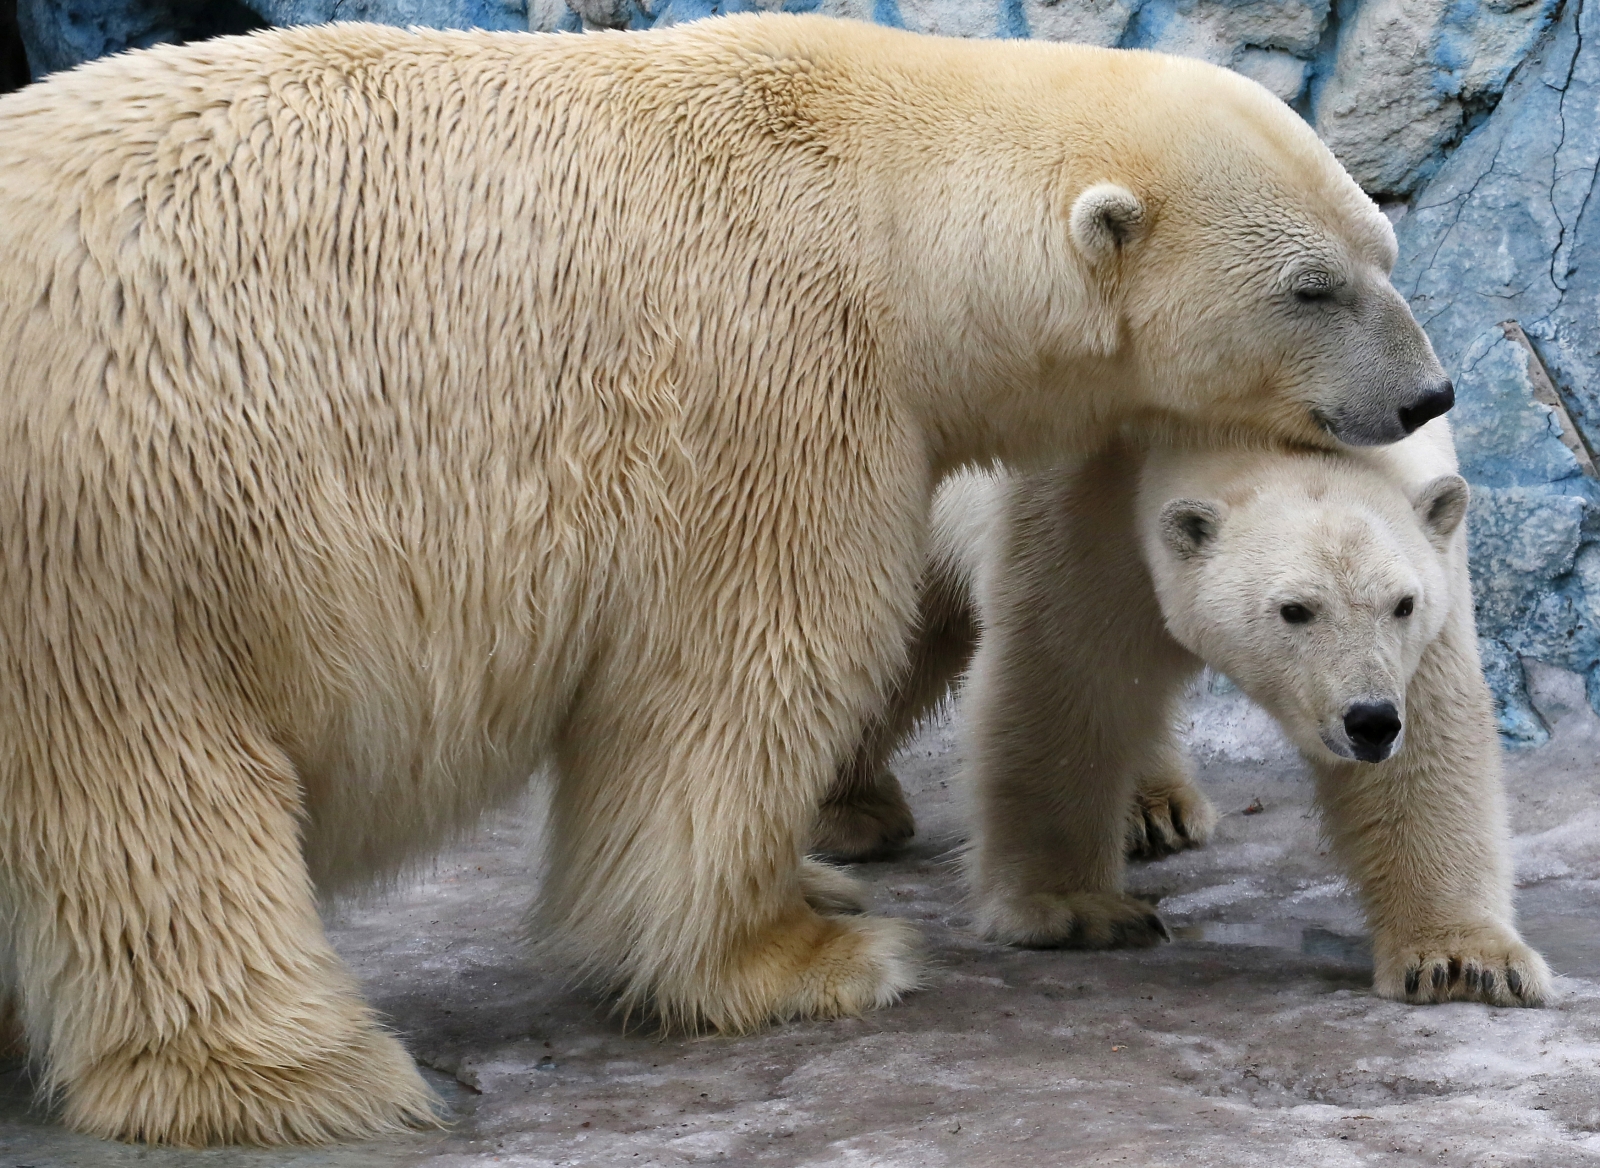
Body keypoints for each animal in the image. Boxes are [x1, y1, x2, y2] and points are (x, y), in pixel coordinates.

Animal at [0, 13, 1452, 1139]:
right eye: (1313, 287)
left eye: (1383, 251)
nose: (1429, 391)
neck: (883, 187)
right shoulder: (763, 377)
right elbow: (734, 678)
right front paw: (802, 954)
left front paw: (821, 887)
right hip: (120, 531)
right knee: (149, 792)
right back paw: (299, 1070)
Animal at [819, 422, 1542, 1004]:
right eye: (1295, 609)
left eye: (1403, 603)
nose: (1368, 721)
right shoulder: (1079, 496)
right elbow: (1067, 672)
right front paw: (1074, 909)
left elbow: (1430, 731)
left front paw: (1463, 961)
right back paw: (850, 814)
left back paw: (1156, 810)